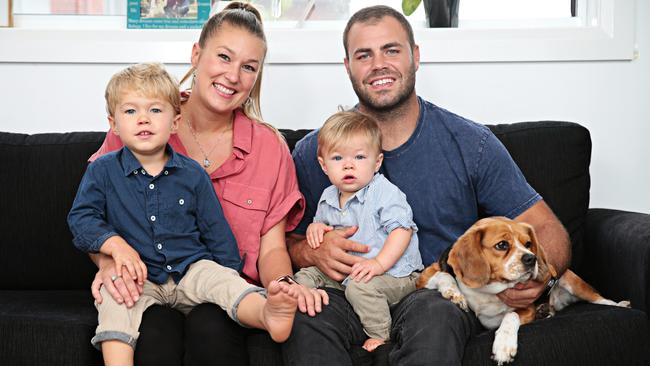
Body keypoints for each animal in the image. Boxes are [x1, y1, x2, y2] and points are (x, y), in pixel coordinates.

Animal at [416, 216, 628, 364]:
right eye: (502, 245)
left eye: (528, 244)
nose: (531, 258)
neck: (489, 290)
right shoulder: (424, 276)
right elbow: (443, 276)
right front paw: (454, 293)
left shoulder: (525, 309)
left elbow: (511, 316)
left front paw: (503, 344)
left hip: (572, 281)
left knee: (598, 298)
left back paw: (620, 305)